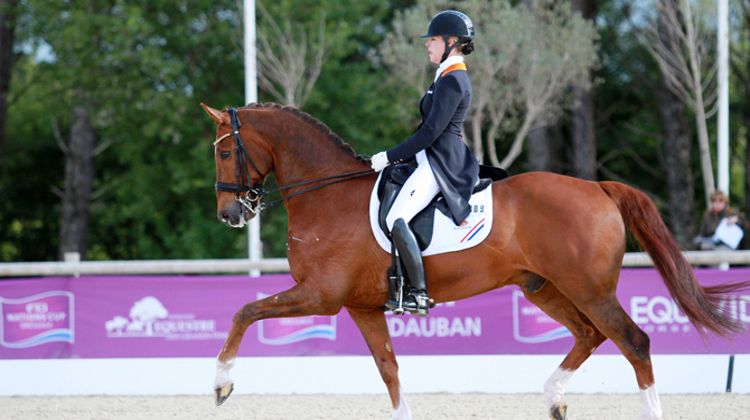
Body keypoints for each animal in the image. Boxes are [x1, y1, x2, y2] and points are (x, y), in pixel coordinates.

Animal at [203, 102, 748, 420]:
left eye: (226, 152)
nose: (229, 214)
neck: (326, 195)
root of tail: (597, 187)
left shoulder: (320, 296)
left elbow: (244, 312)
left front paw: (221, 383)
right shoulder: (361, 306)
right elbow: (388, 368)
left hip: (589, 289)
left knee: (632, 341)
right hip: (543, 287)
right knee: (590, 335)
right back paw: (553, 396)